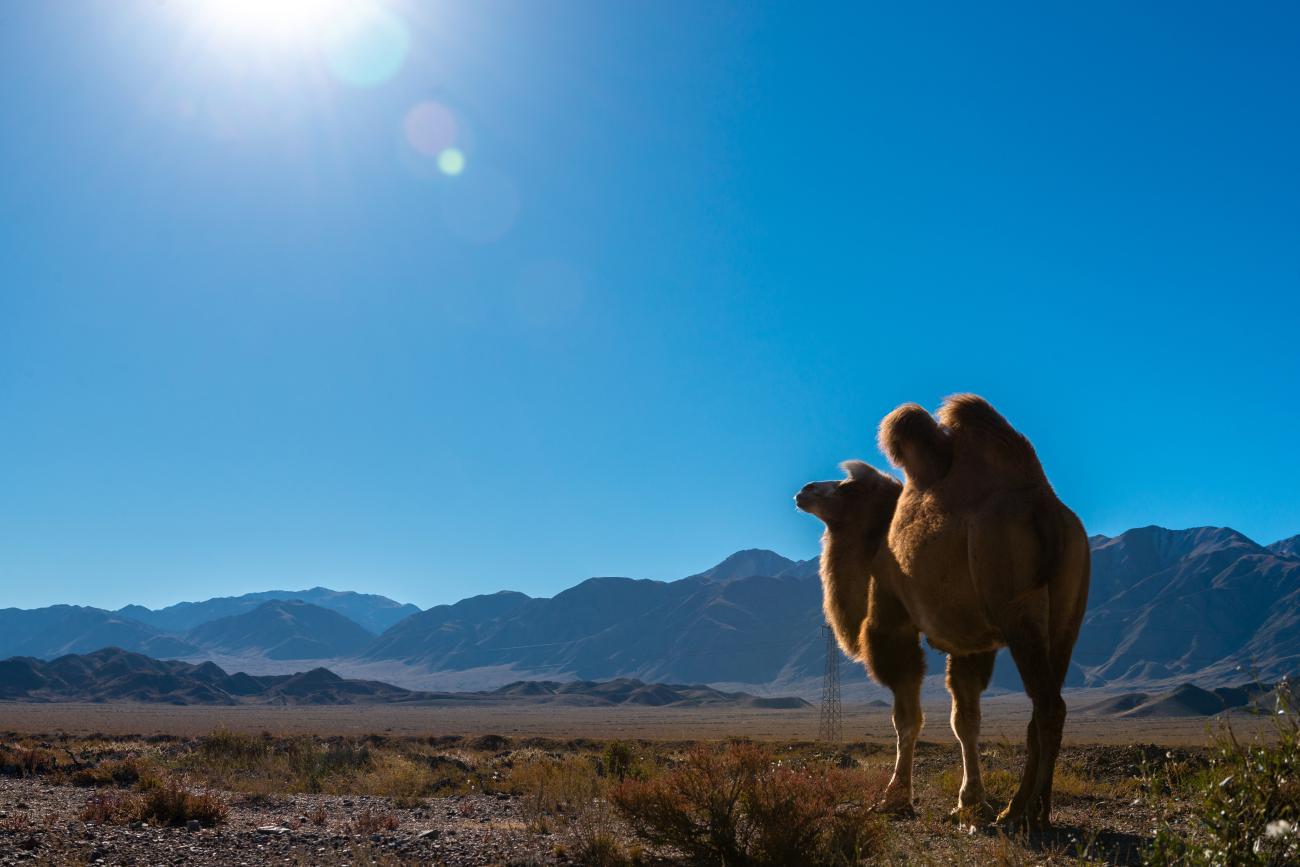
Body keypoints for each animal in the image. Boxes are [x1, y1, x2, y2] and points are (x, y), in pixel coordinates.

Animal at [795, 394, 1089, 828]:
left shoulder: (892, 620)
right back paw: (1027, 808)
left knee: (1049, 706)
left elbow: (907, 719)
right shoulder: (972, 642)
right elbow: (965, 719)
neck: (878, 538)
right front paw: (971, 802)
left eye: (845, 486)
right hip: (1068, 615)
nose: (805, 490)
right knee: (1043, 707)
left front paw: (894, 798)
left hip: (1016, 611)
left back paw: (1024, 812)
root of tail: (1047, 511)